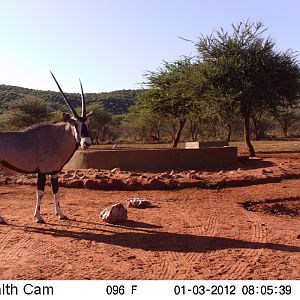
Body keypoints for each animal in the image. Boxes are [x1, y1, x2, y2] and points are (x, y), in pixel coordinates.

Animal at [0, 72, 91, 223]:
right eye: (74, 123)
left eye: (87, 123)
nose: (87, 142)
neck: (56, 138)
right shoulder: (42, 171)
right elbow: (40, 192)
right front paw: (38, 217)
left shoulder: (54, 172)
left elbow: (56, 192)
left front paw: (61, 214)